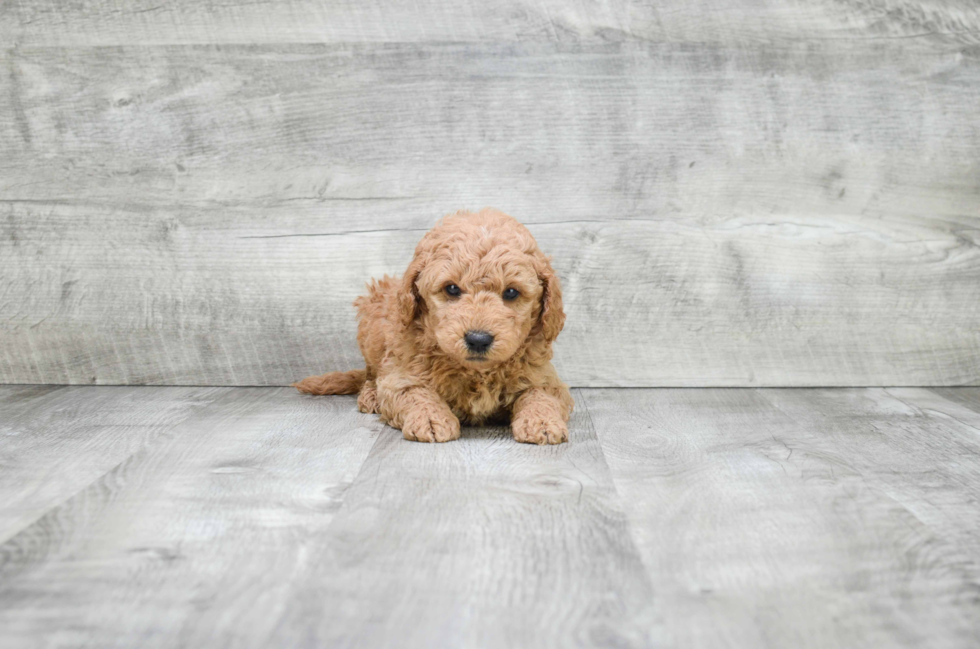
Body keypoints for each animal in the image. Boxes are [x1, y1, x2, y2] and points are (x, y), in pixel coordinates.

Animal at [298, 208, 576, 440]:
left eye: (511, 292)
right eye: (451, 289)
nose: (478, 339)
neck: (476, 372)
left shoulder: (544, 378)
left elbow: (540, 395)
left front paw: (542, 422)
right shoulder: (401, 374)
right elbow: (416, 393)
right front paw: (431, 420)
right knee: (370, 374)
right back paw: (371, 395)